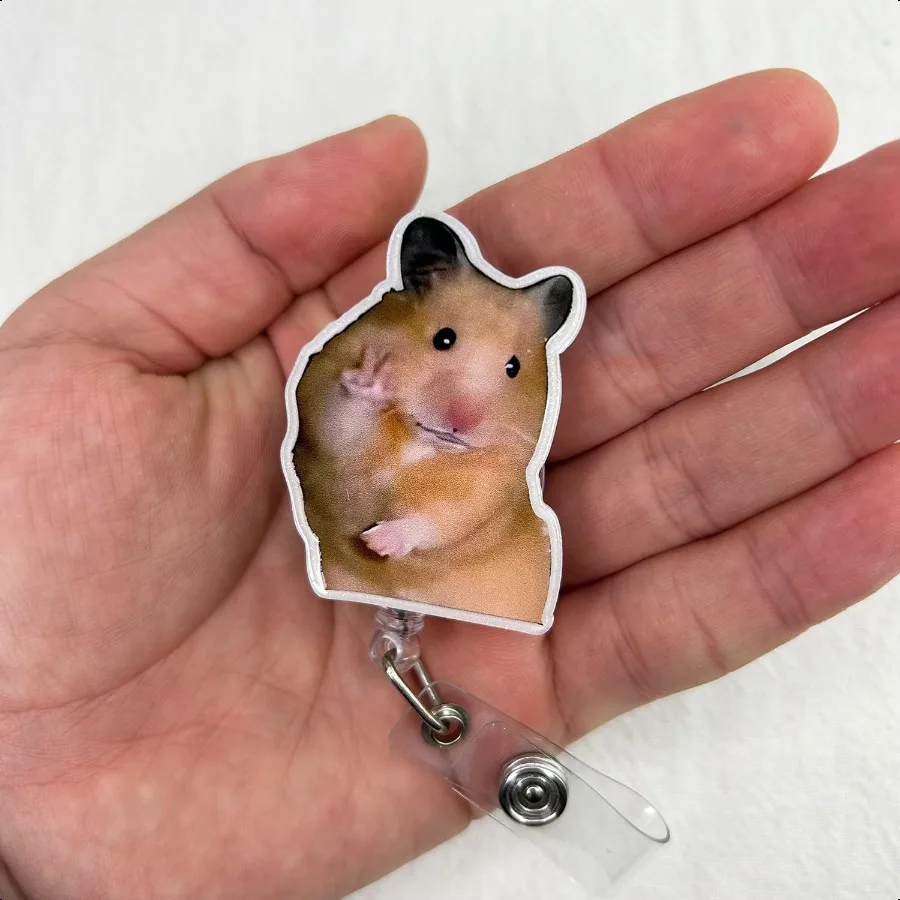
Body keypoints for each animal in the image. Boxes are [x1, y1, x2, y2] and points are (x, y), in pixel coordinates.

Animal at [293, 217, 573, 624]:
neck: (421, 445)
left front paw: (376, 542)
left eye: (514, 367)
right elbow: (344, 422)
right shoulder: (321, 413)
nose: (459, 424)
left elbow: (442, 520)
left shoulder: (490, 491)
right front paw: (375, 375)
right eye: (443, 339)